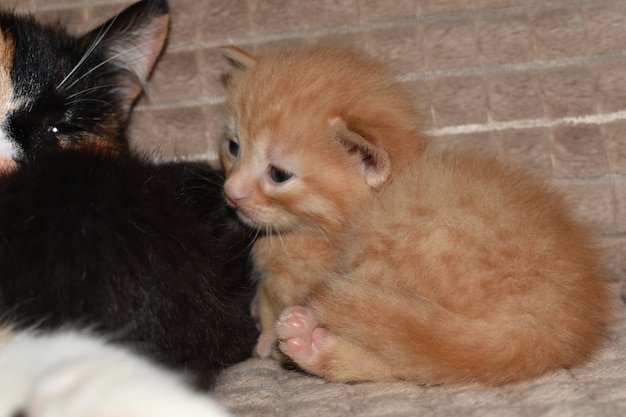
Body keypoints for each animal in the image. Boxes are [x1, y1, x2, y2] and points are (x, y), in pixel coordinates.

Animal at [219, 45, 608, 384]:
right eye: (233, 147)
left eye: (278, 174)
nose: (231, 193)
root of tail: (549, 325)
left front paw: (265, 339)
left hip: (399, 245)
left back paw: (308, 343)